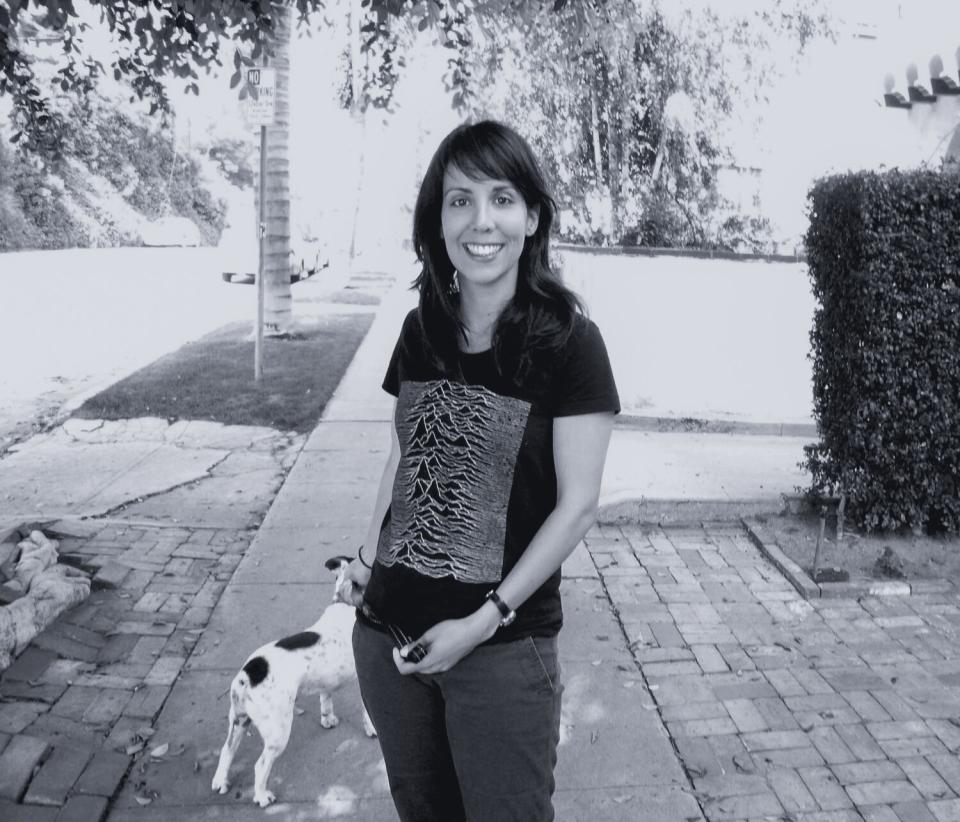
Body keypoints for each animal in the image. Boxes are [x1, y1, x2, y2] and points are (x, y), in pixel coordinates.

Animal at [212, 556, 376, 808]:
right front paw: (372, 730)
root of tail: (247, 675)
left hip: (238, 721)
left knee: (227, 750)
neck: (345, 604)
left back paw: (220, 781)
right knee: (260, 765)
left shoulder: (326, 680)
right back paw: (262, 796)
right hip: (278, 731)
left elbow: (326, 699)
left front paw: (328, 720)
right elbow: (367, 712)